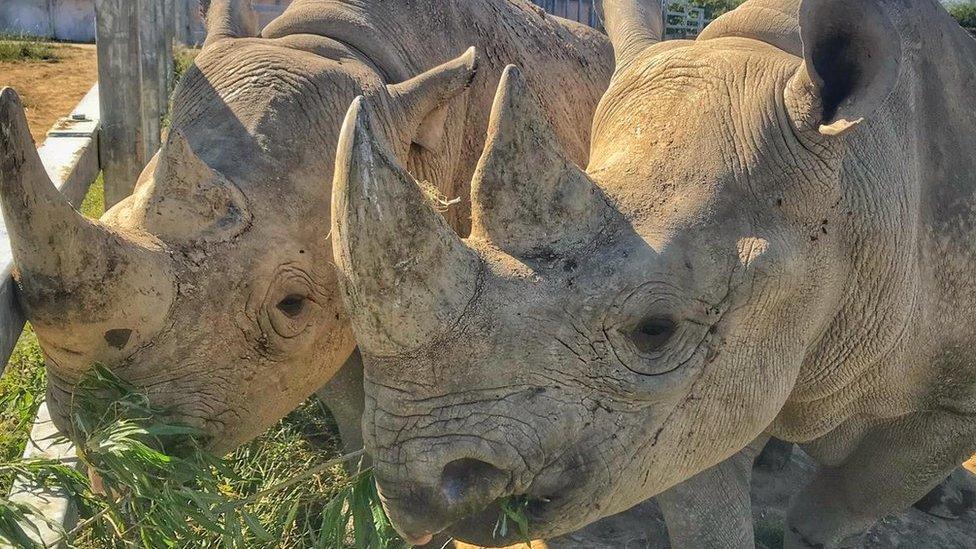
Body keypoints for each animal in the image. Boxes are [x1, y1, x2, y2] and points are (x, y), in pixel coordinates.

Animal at [334, 0, 976, 544]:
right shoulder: (696, 403)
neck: (856, 186)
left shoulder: (953, 403)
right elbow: (706, 514)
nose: (412, 492)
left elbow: (853, 499)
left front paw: (813, 531)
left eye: (654, 330)